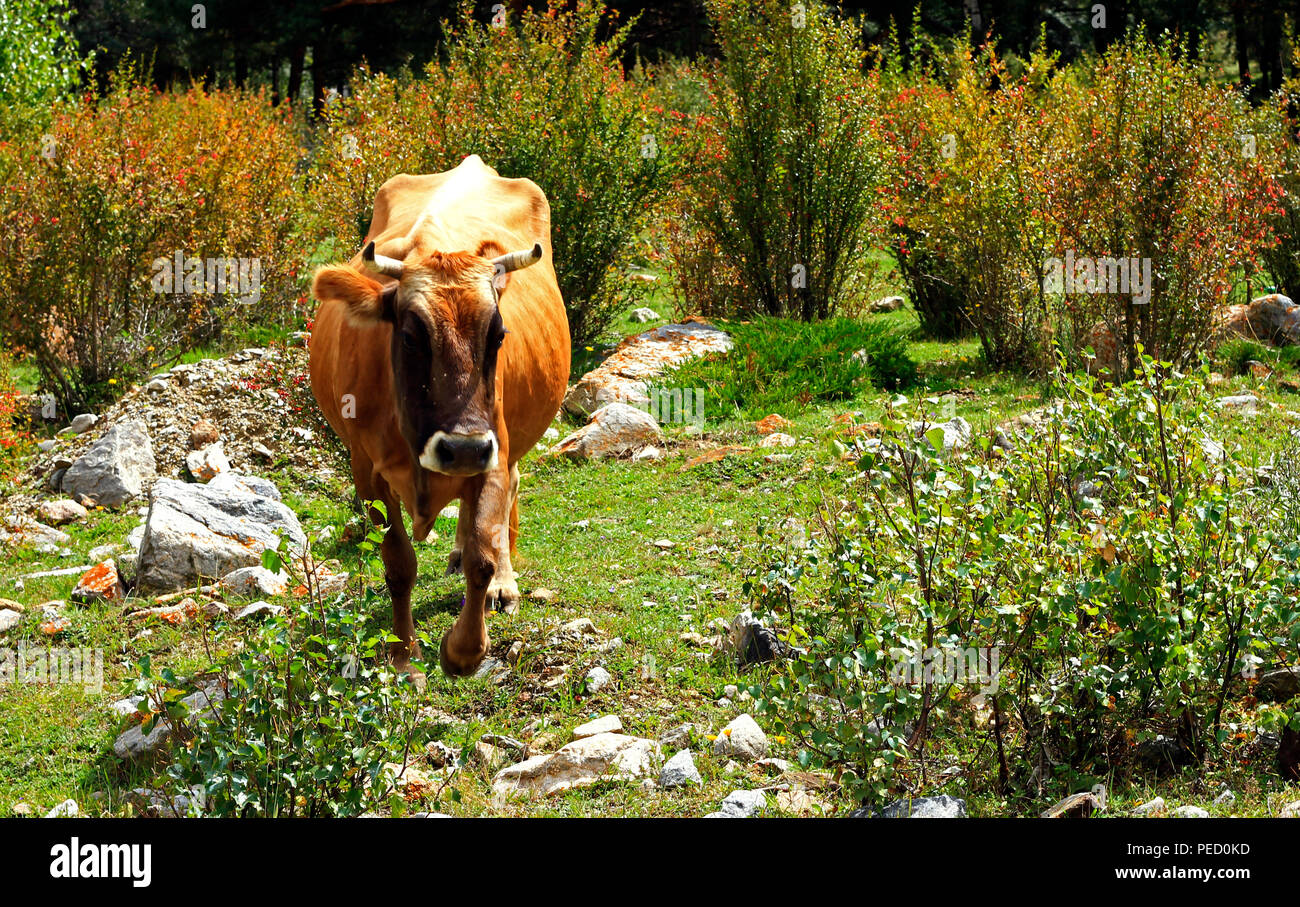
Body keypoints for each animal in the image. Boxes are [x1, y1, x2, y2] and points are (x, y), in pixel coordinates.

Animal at [309, 155, 570, 678]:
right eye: (411, 337)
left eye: (498, 334)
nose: (463, 446)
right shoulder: (367, 469)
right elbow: (398, 562)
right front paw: (404, 654)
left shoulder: (493, 448)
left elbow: (482, 557)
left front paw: (461, 651)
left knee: (502, 503)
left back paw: (502, 584)